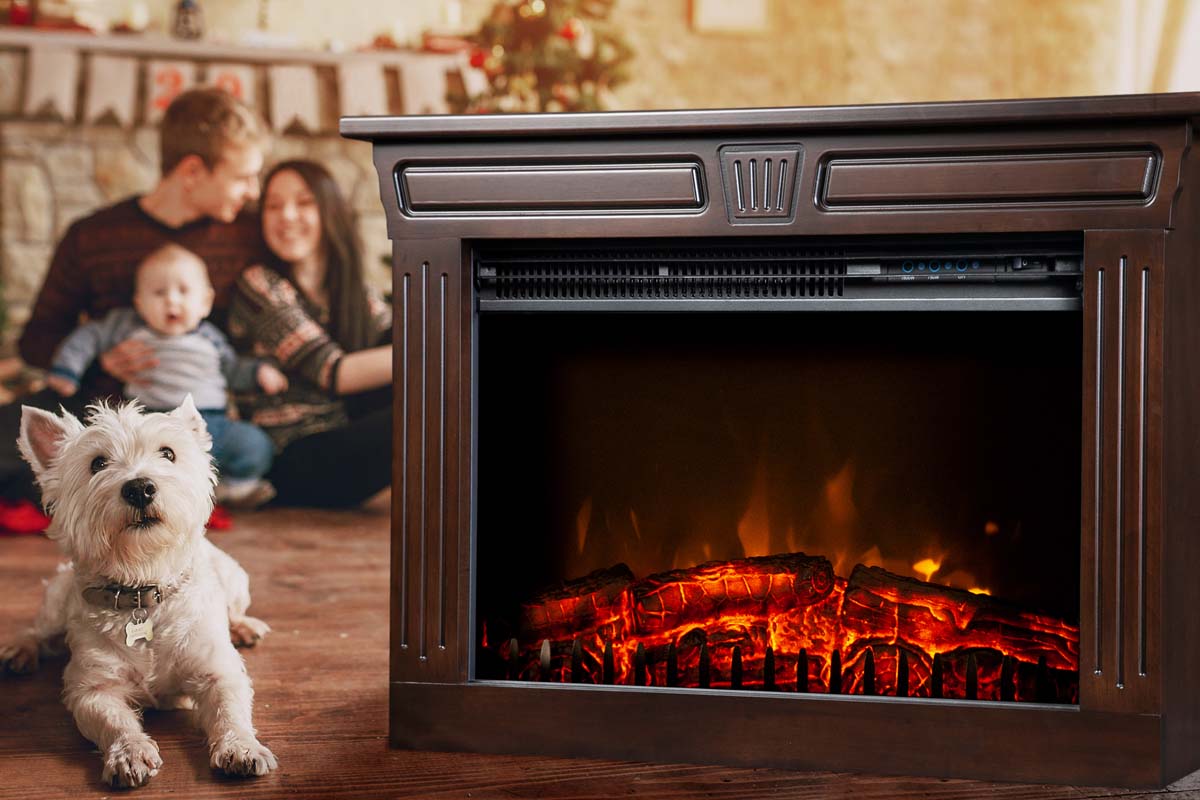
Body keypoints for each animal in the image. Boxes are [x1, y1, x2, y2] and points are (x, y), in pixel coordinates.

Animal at [0, 398, 278, 786]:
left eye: (168, 453)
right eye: (97, 463)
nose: (140, 488)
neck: (141, 588)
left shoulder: (217, 670)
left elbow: (230, 709)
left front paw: (242, 748)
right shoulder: (92, 687)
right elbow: (114, 721)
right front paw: (129, 753)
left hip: (235, 578)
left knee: (236, 609)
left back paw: (244, 626)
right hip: (56, 600)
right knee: (37, 630)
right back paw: (19, 651)